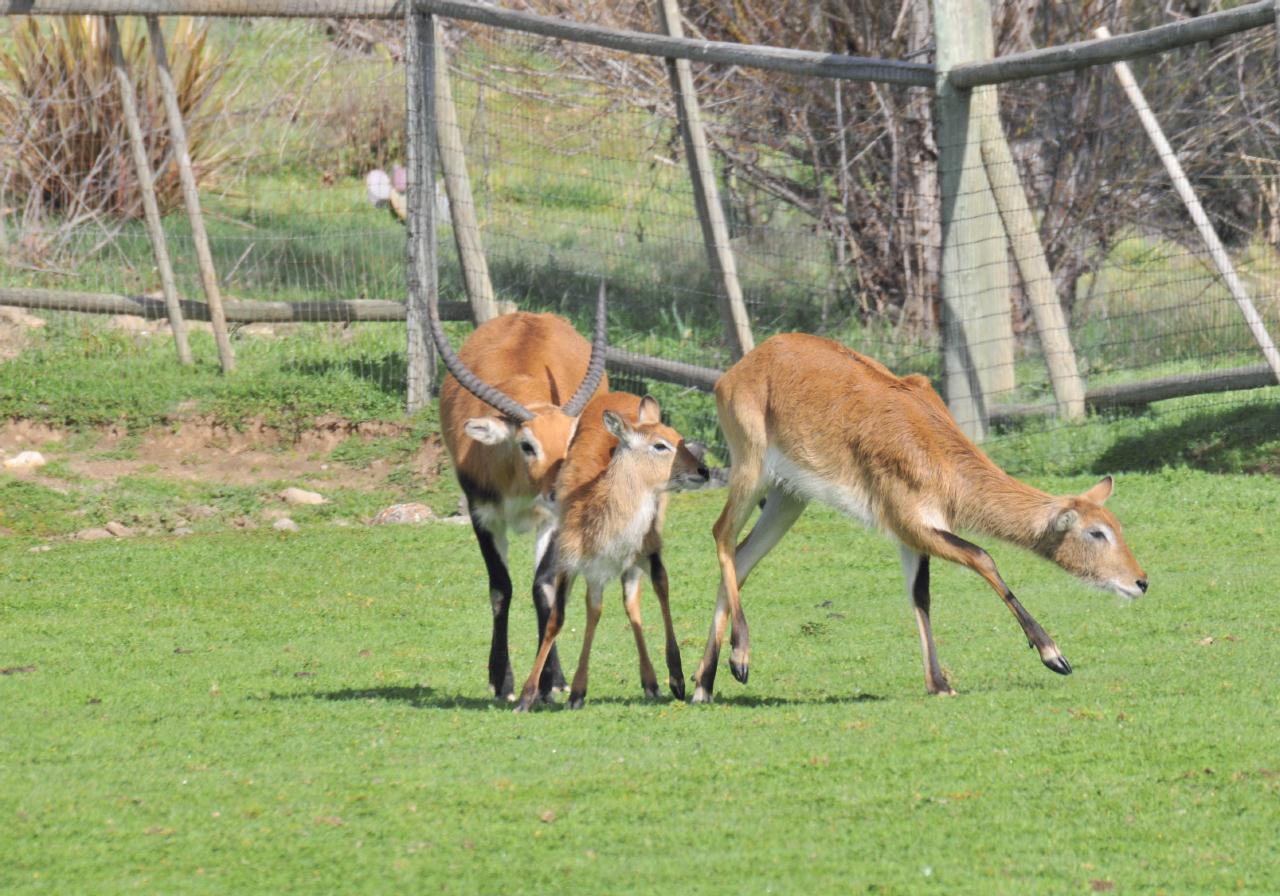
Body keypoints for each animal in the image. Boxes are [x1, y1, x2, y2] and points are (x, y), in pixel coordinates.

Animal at [430, 280, 609, 701]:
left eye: (572, 439)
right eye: (528, 445)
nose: (561, 490)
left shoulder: (551, 520)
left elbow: (543, 587)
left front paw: (550, 682)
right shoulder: (482, 515)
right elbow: (501, 588)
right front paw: (502, 681)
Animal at [512, 391, 711, 711]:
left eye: (678, 437)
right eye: (660, 444)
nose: (703, 470)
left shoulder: (639, 554)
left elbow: (652, 591)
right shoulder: (576, 565)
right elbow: (564, 618)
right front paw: (529, 696)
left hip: (648, 548)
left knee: (655, 588)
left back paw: (671, 680)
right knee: (630, 604)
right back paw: (650, 682)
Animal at [691, 332, 1152, 701]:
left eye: (1117, 527)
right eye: (1097, 533)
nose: (1141, 582)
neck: (937, 450)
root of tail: (738, 369)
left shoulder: (913, 533)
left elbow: (920, 595)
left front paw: (939, 684)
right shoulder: (910, 522)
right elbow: (983, 556)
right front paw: (1054, 656)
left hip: (789, 498)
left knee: (742, 556)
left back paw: (703, 685)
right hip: (751, 468)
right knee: (720, 534)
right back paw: (738, 660)